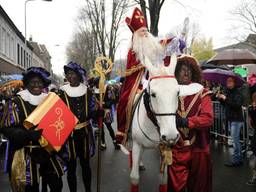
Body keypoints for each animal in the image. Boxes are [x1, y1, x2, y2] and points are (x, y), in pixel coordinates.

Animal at [130, 55, 202, 192]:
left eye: (178, 93)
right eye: (153, 94)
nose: (170, 136)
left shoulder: (164, 150)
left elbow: (163, 180)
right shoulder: (137, 144)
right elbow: (134, 178)